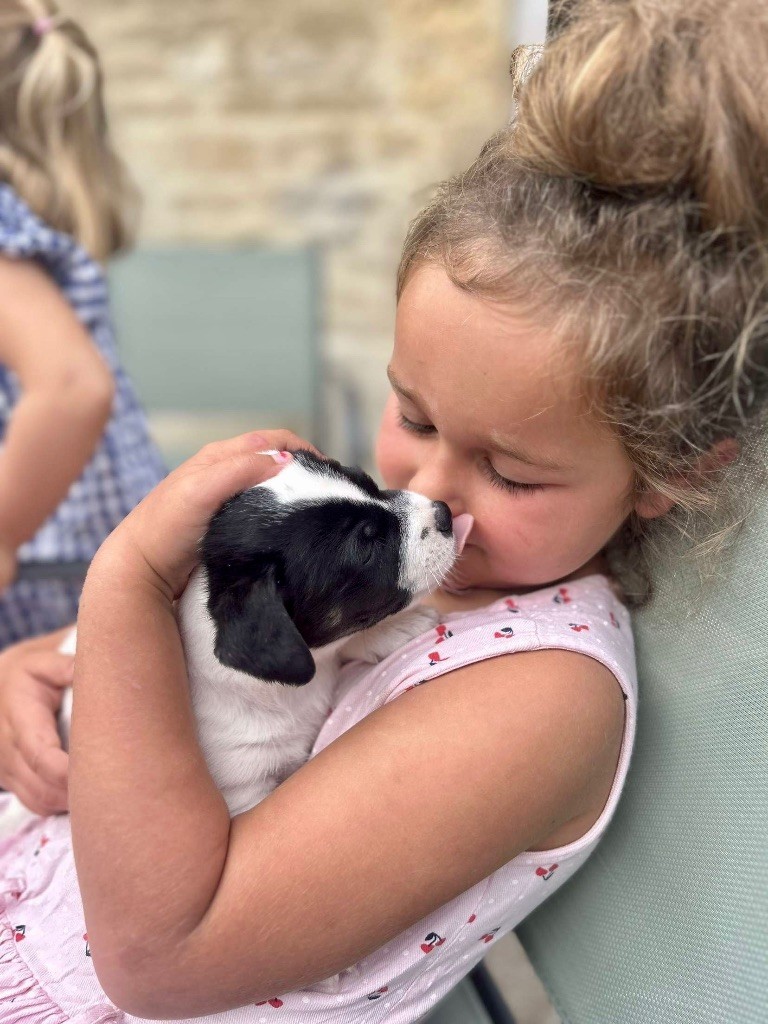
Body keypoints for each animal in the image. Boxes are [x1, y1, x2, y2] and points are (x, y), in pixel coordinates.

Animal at [58, 452, 468, 819]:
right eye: (366, 545)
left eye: (368, 482)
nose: (444, 512)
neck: (291, 694)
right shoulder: (244, 788)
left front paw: (396, 629)